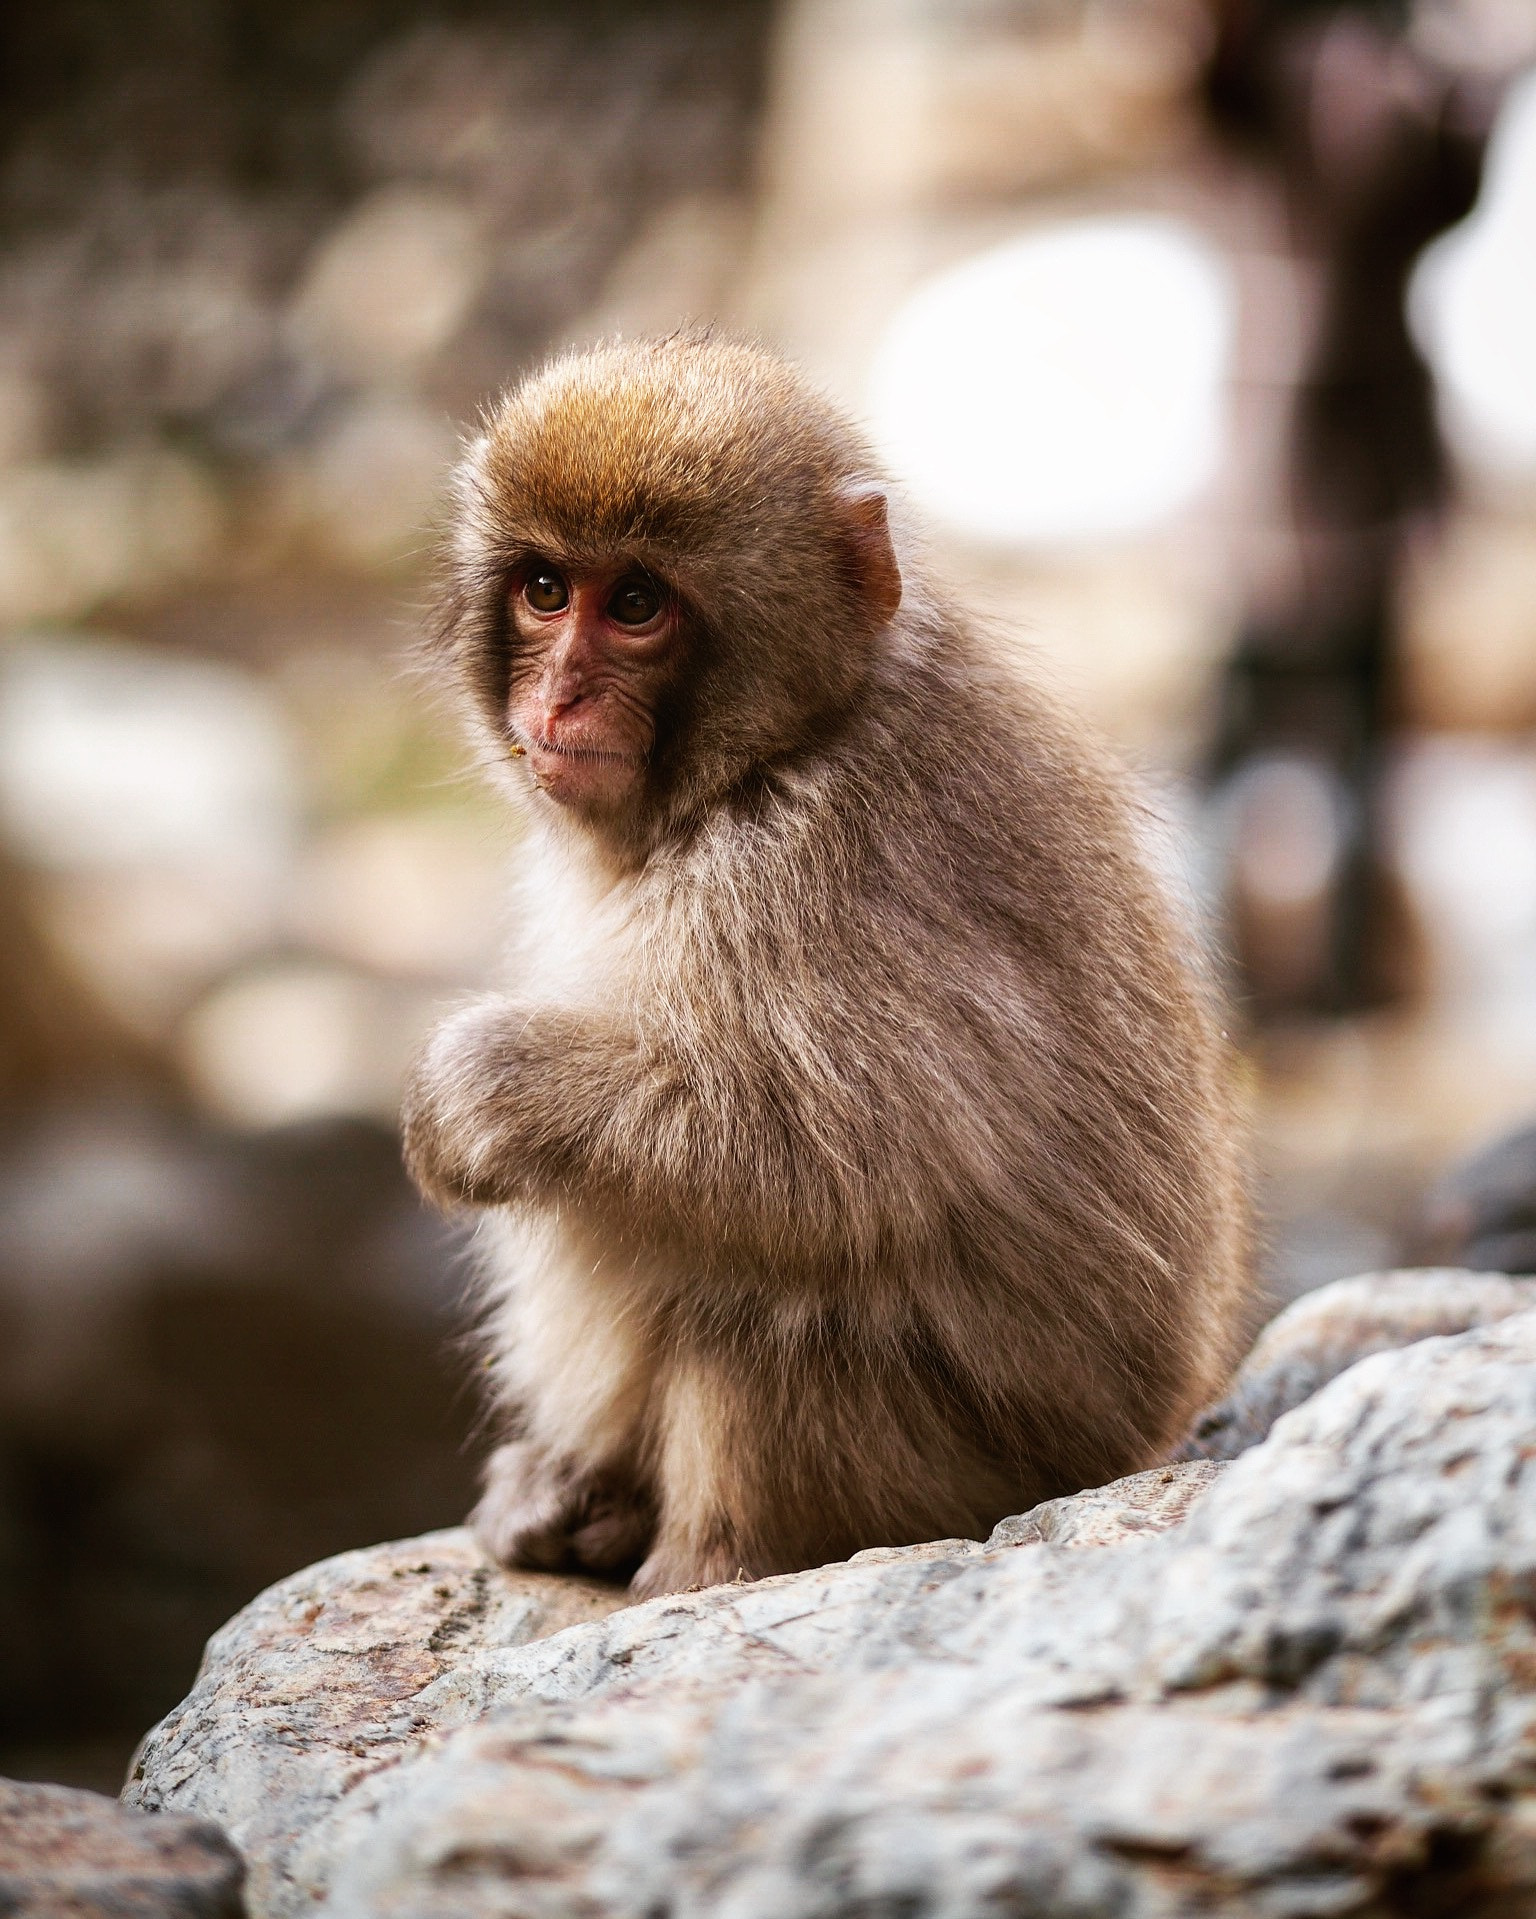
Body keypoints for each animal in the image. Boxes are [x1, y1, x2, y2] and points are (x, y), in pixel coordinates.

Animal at [399, 337, 1244, 1596]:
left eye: (637, 604)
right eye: (546, 590)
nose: (558, 696)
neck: (775, 752)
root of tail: (1137, 1447)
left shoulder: (803, 875)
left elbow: (841, 1159)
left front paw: (470, 1084)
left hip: (959, 1466)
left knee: (762, 1297)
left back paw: (706, 1564)